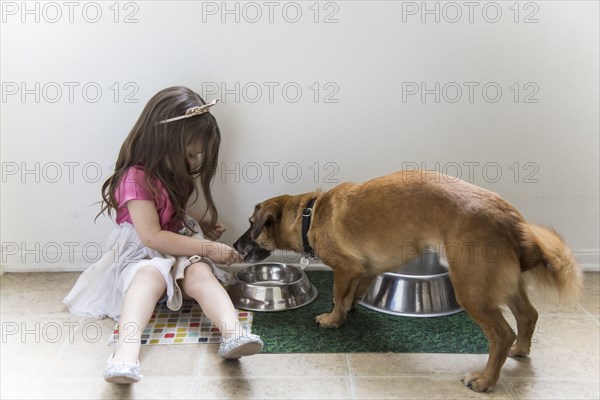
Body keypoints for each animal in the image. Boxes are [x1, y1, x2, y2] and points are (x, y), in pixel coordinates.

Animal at [233, 170, 580, 392]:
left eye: (251, 224)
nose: (235, 246)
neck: (310, 214)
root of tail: (513, 221)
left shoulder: (345, 268)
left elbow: (337, 294)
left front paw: (332, 318)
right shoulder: (366, 269)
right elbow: (353, 293)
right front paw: (349, 310)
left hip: (470, 288)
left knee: (502, 333)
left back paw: (486, 379)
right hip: (504, 285)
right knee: (528, 316)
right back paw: (521, 350)